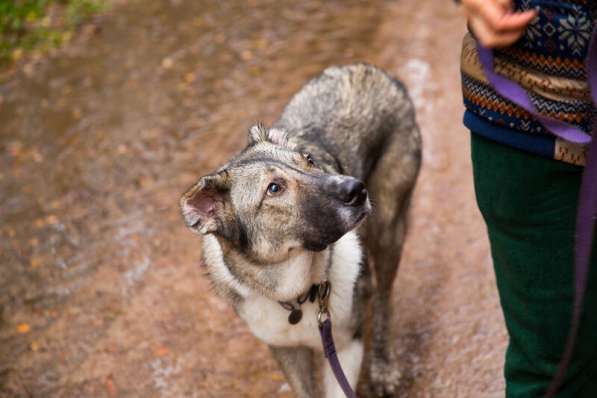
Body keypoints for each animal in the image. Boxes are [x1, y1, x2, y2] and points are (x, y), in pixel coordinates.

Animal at [179, 63, 422, 396]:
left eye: (308, 159)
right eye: (274, 188)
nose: (358, 189)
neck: (297, 292)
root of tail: (371, 70)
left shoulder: (346, 345)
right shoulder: (286, 352)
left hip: (388, 225)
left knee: (385, 297)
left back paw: (384, 367)